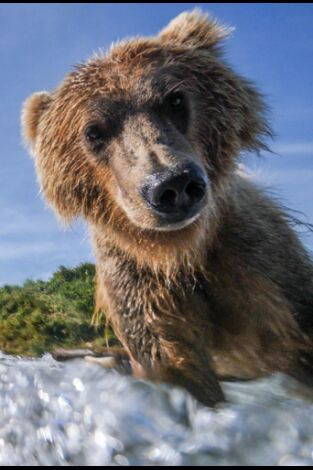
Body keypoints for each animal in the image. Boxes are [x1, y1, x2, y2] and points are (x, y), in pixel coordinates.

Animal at [22, 11, 312, 408]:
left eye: (174, 99)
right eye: (93, 131)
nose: (172, 185)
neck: (181, 252)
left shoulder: (256, 262)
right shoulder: (139, 284)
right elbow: (173, 361)